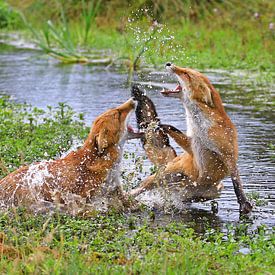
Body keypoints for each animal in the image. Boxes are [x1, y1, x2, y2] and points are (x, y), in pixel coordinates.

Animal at [130, 63, 253, 215]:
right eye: (185, 70)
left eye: (186, 74)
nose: (169, 63)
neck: (201, 129)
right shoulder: (192, 144)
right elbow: (171, 128)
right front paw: (159, 126)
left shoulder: (228, 154)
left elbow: (237, 184)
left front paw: (243, 204)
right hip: (164, 175)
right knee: (142, 188)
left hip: (215, 190)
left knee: (182, 195)